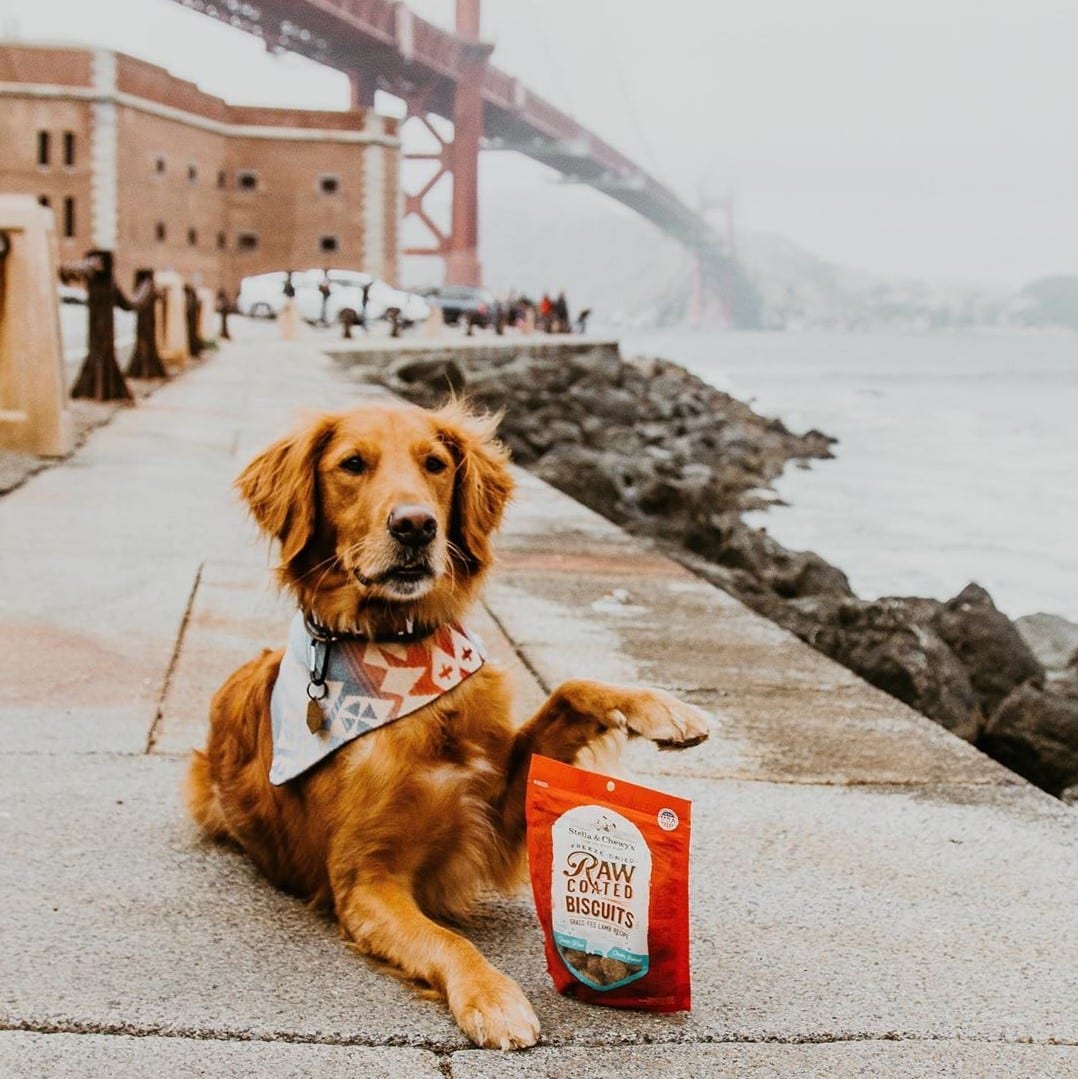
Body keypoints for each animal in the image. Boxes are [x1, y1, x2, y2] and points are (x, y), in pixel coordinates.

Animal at [185, 401, 707, 1048]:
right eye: (352, 464)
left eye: (434, 464)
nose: (415, 526)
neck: (404, 661)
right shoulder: (365, 881)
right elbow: (446, 939)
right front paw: (493, 996)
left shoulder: (499, 807)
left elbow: (569, 691)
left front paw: (664, 710)